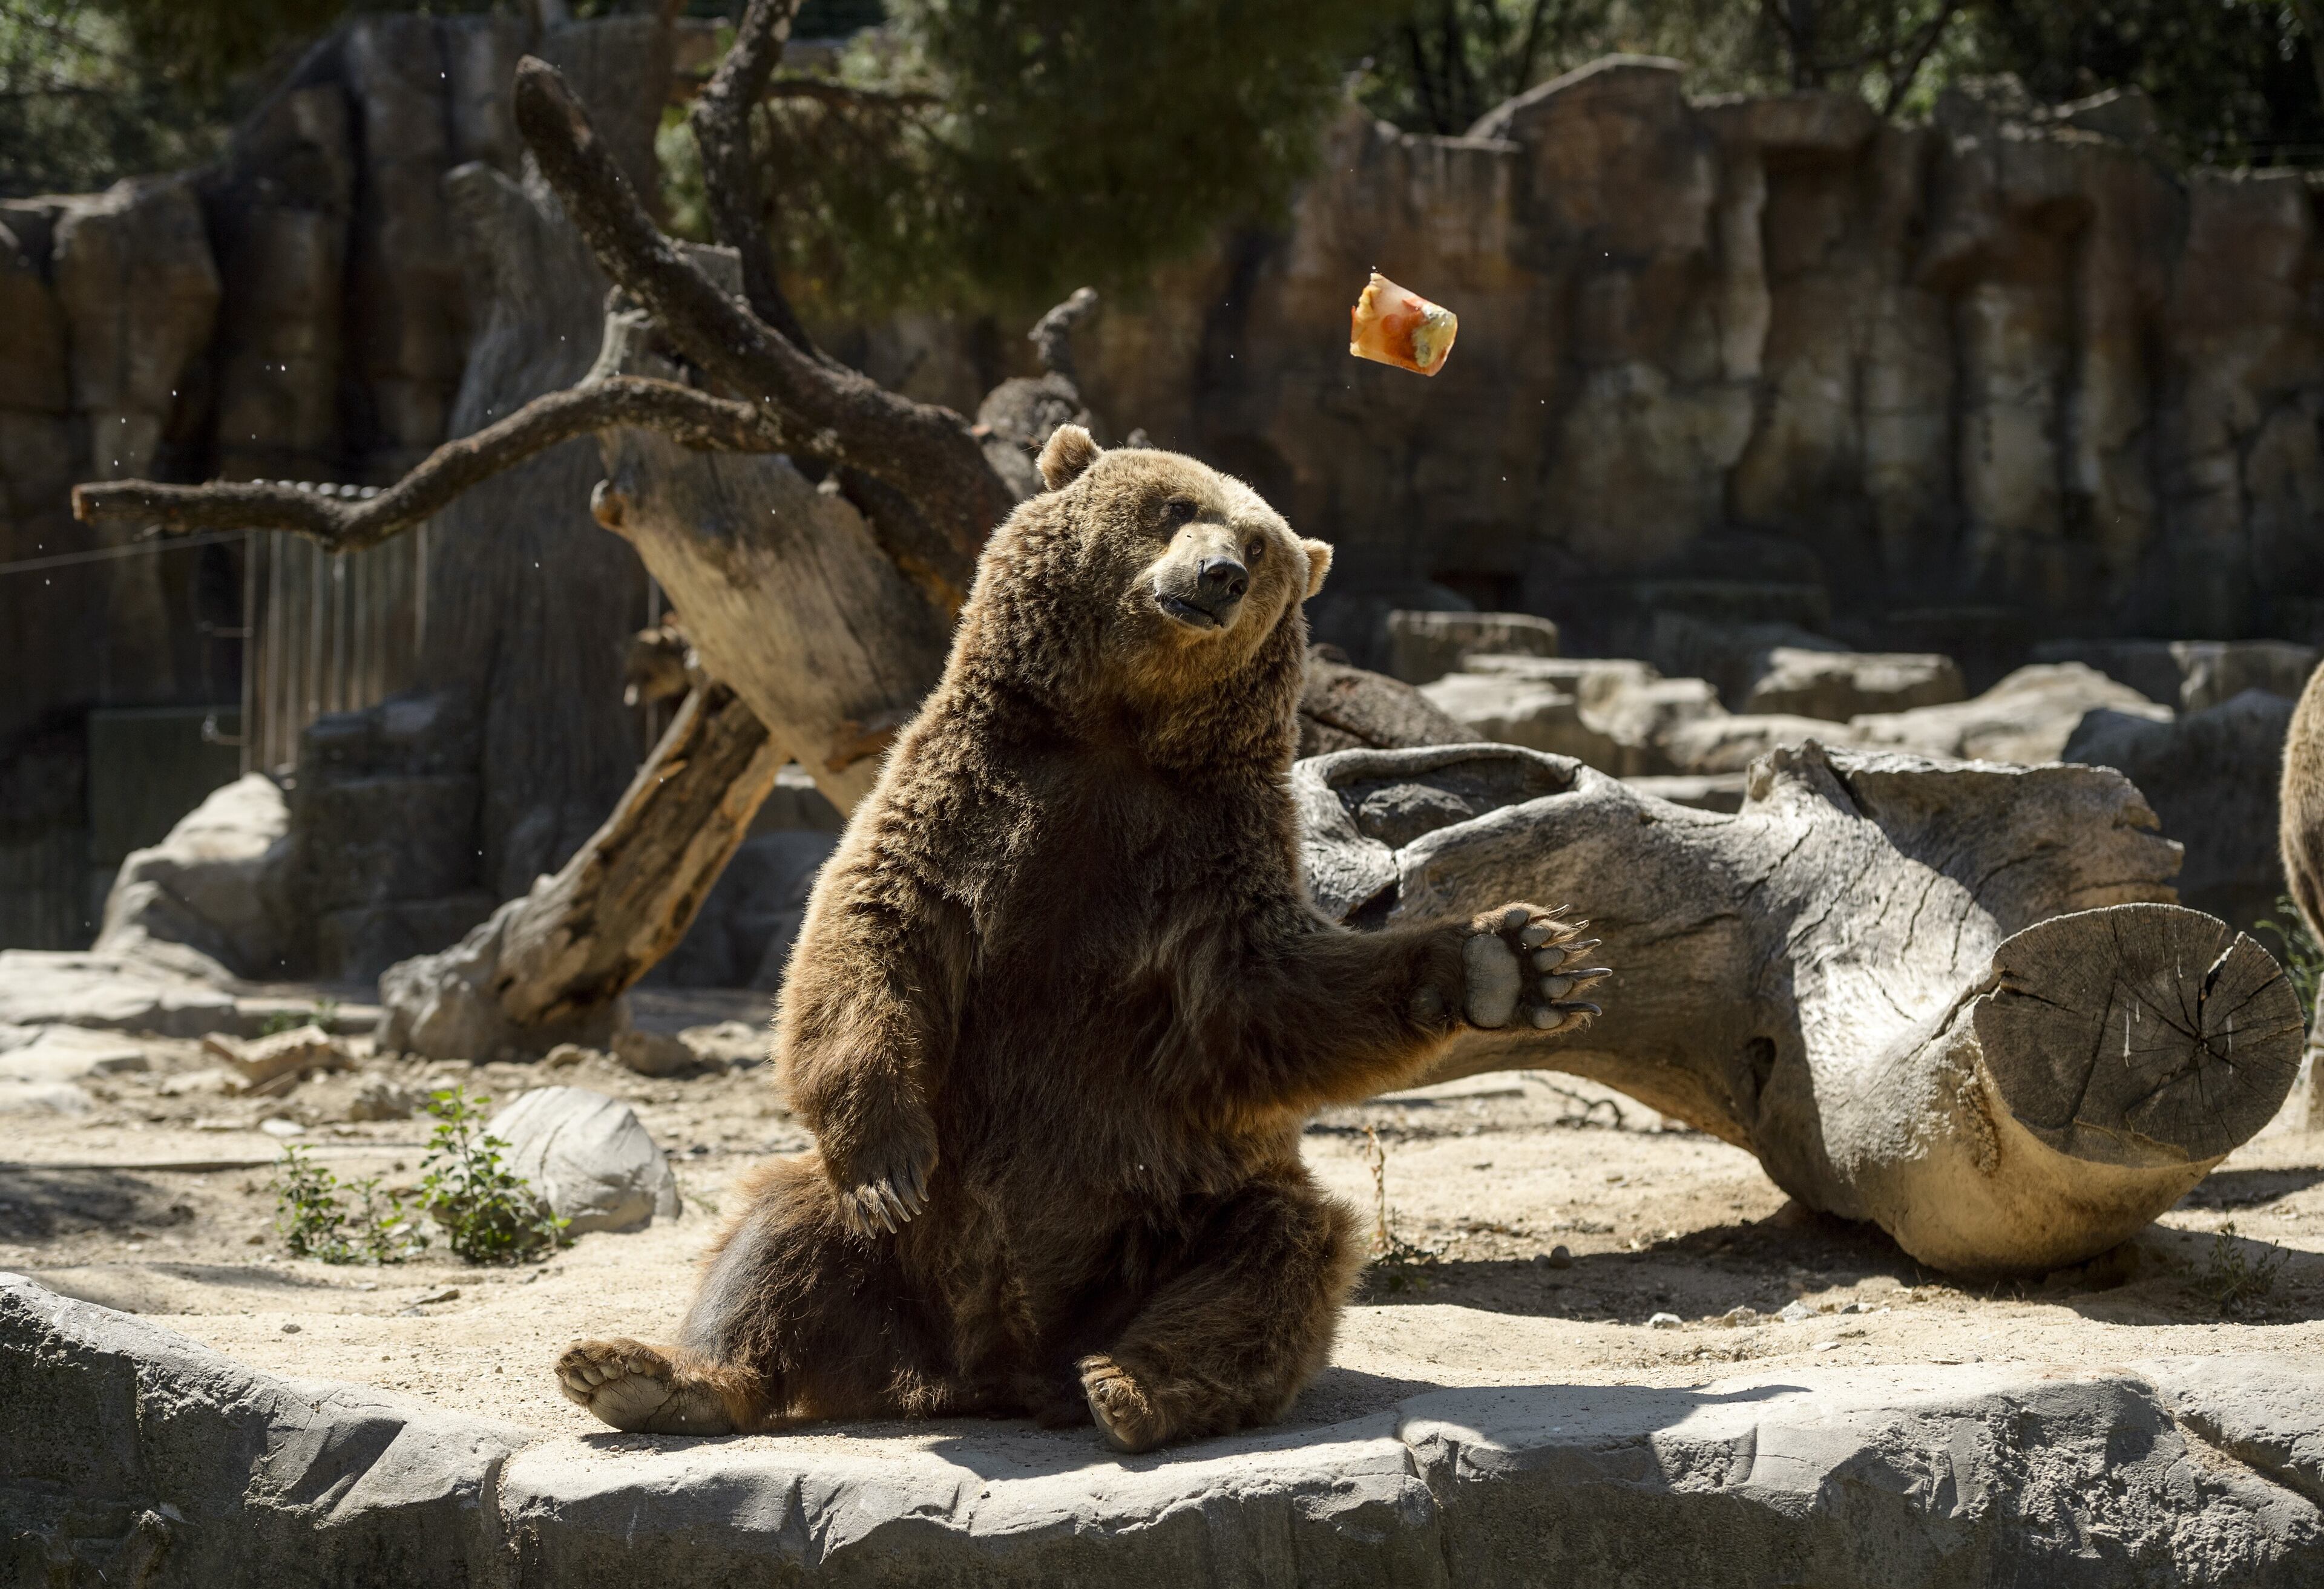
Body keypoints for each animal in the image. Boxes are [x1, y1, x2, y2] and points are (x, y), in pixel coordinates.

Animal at [554, 427, 1608, 1452]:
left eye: (1261, 545)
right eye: (1177, 506)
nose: (1221, 573)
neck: (1118, 731)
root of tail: (988, 1369)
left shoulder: (1204, 854)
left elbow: (1271, 995)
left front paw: (1514, 962)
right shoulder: (964, 799)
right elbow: (872, 934)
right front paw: (888, 1157)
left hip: (1174, 1206)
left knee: (1276, 1256)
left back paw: (1134, 1388)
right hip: (899, 1239)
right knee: (778, 1235)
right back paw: (648, 1375)